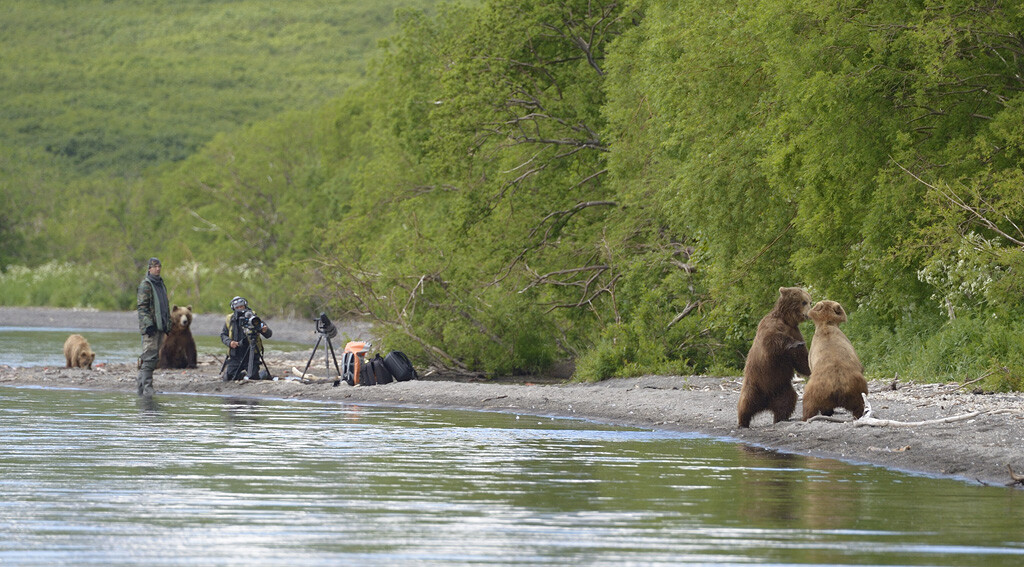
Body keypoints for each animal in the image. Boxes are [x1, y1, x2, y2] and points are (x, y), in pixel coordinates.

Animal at [741, 286, 811, 423]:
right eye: (804, 302)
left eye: (810, 301)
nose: (809, 312)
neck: (787, 320)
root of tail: (765, 403)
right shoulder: (771, 325)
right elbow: (771, 339)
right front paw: (794, 343)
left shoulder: (795, 331)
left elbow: (802, 360)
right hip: (755, 383)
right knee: (746, 402)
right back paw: (743, 422)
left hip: (781, 388)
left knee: (787, 401)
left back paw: (780, 418)